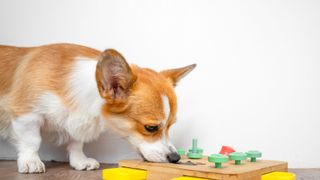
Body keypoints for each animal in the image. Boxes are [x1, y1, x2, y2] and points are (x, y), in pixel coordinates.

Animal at [0, 43, 195, 173]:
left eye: (170, 126)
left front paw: (80, 161)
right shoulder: (26, 114)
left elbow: (76, 143)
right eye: (151, 128)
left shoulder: (77, 121)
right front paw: (31, 161)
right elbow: (32, 140)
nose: (176, 158)